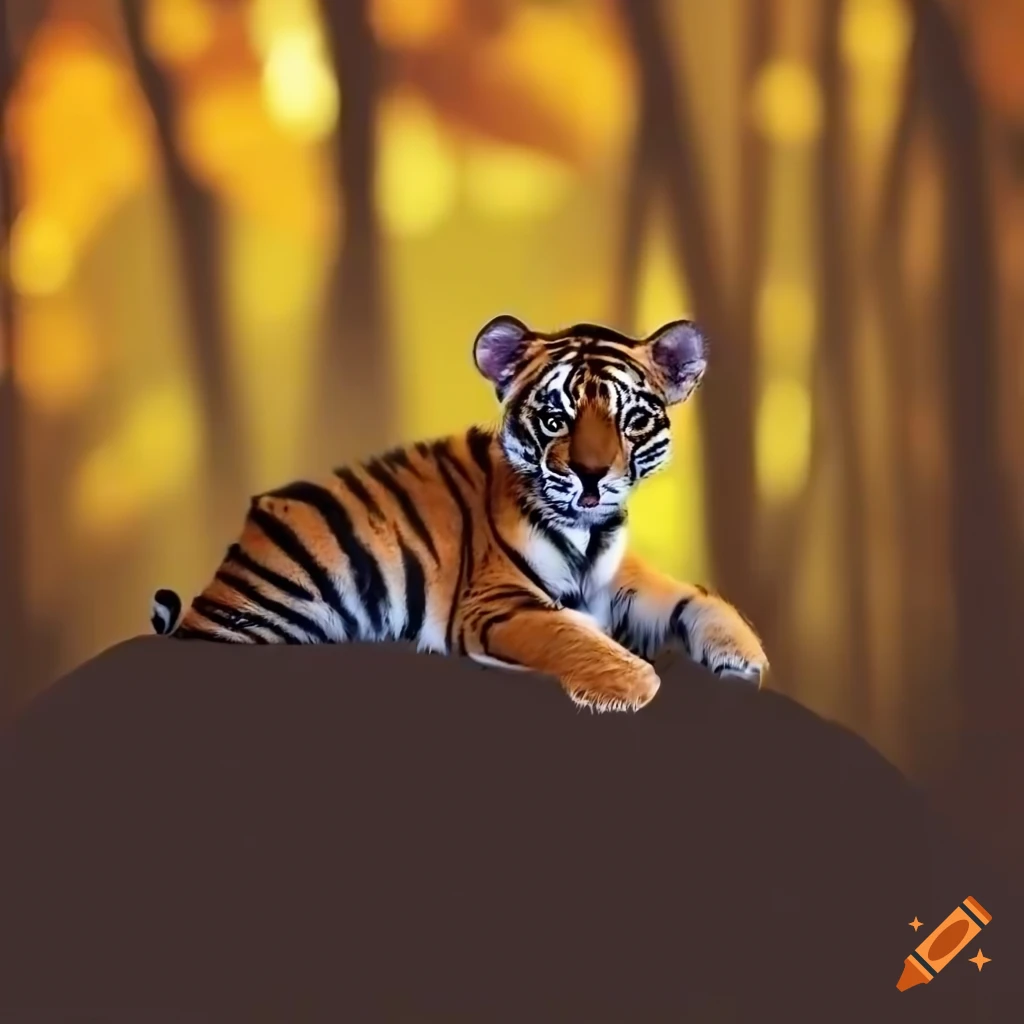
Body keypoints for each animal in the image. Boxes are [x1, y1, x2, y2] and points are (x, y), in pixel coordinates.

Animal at [151, 314, 768, 712]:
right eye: (555, 419)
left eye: (632, 420)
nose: (592, 476)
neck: (589, 534)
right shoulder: (496, 603)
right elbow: (574, 637)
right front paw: (632, 683)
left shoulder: (621, 579)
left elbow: (697, 598)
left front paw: (746, 656)